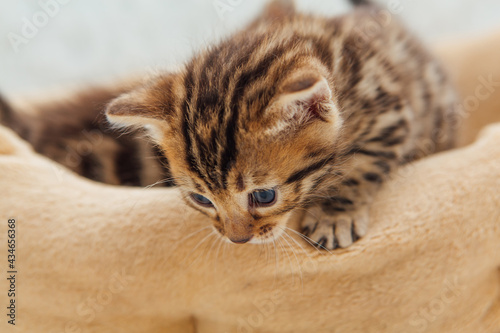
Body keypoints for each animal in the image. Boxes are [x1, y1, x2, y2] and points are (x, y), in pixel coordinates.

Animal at [1, 0, 458, 249]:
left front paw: (334, 215)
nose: (237, 238)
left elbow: (363, 162)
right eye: (201, 199)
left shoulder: (393, 108)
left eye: (265, 196)